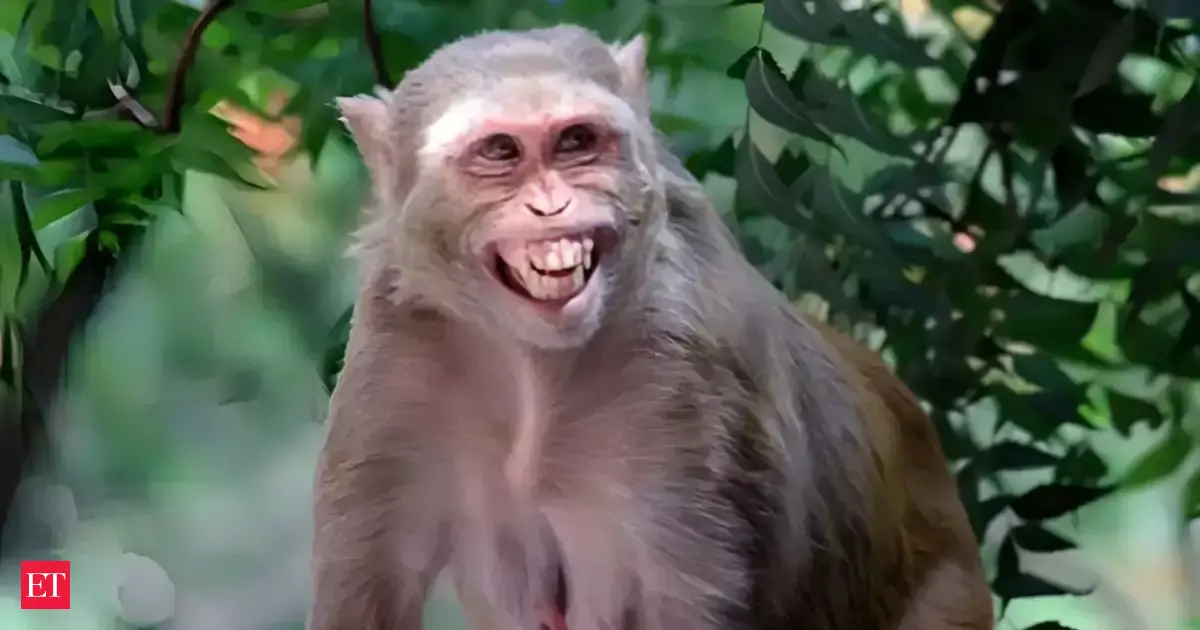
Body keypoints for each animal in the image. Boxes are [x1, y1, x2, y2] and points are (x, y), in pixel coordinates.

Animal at [309, 24, 994, 630]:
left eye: (576, 140)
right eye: (500, 151)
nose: (551, 205)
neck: (535, 366)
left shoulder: (689, 379)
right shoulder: (394, 353)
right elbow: (366, 597)